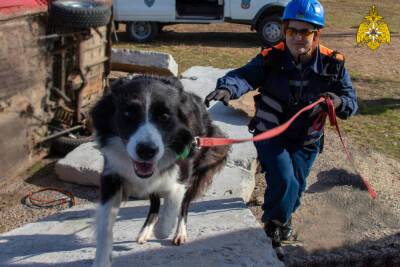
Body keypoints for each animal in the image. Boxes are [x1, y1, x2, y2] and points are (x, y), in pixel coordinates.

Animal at [89, 75, 230, 267]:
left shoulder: (184, 168)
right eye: (128, 113)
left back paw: (179, 233)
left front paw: (162, 229)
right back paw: (145, 230)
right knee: (155, 202)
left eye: (164, 116)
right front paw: (102, 260)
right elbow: (104, 225)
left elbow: (172, 204)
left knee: (184, 205)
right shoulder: (112, 175)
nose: (146, 151)